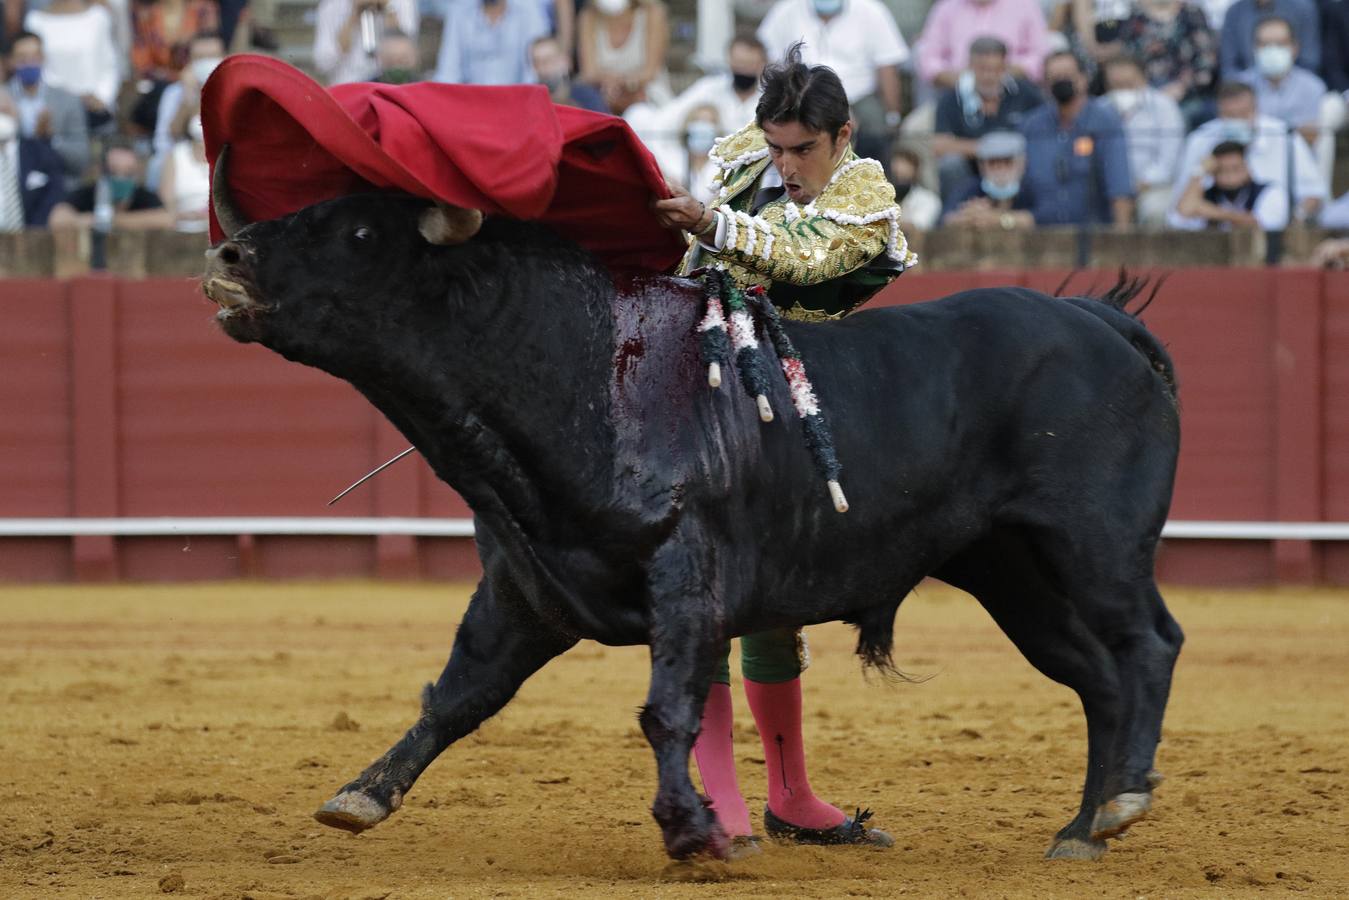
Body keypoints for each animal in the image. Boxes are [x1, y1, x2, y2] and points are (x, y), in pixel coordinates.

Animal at [199, 180, 1181, 863]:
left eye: (360, 231)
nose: (229, 256)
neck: (586, 369)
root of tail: (1096, 319)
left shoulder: (686, 575)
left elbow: (664, 710)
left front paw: (688, 830)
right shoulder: (525, 587)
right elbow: (458, 696)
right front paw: (363, 794)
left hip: (1093, 547)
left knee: (1147, 644)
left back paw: (1123, 803)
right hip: (1012, 574)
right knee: (1095, 678)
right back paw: (1082, 828)